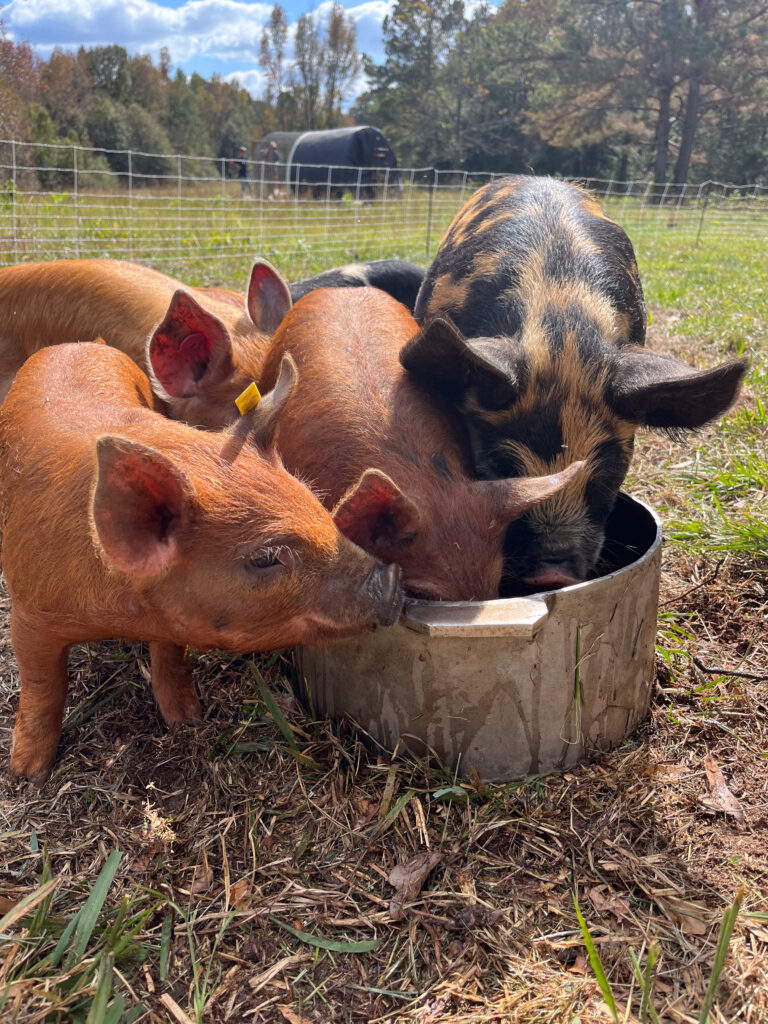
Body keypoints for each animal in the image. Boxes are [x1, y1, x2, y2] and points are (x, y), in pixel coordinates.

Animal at [0, 339, 405, 778]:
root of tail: (77, 344)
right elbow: (42, 684)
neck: (123, 614)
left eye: (318, 507)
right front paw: (28, 773)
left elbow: (170, 654)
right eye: (265, 558)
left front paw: (187, 719)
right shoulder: (29, 611)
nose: (392, 579)